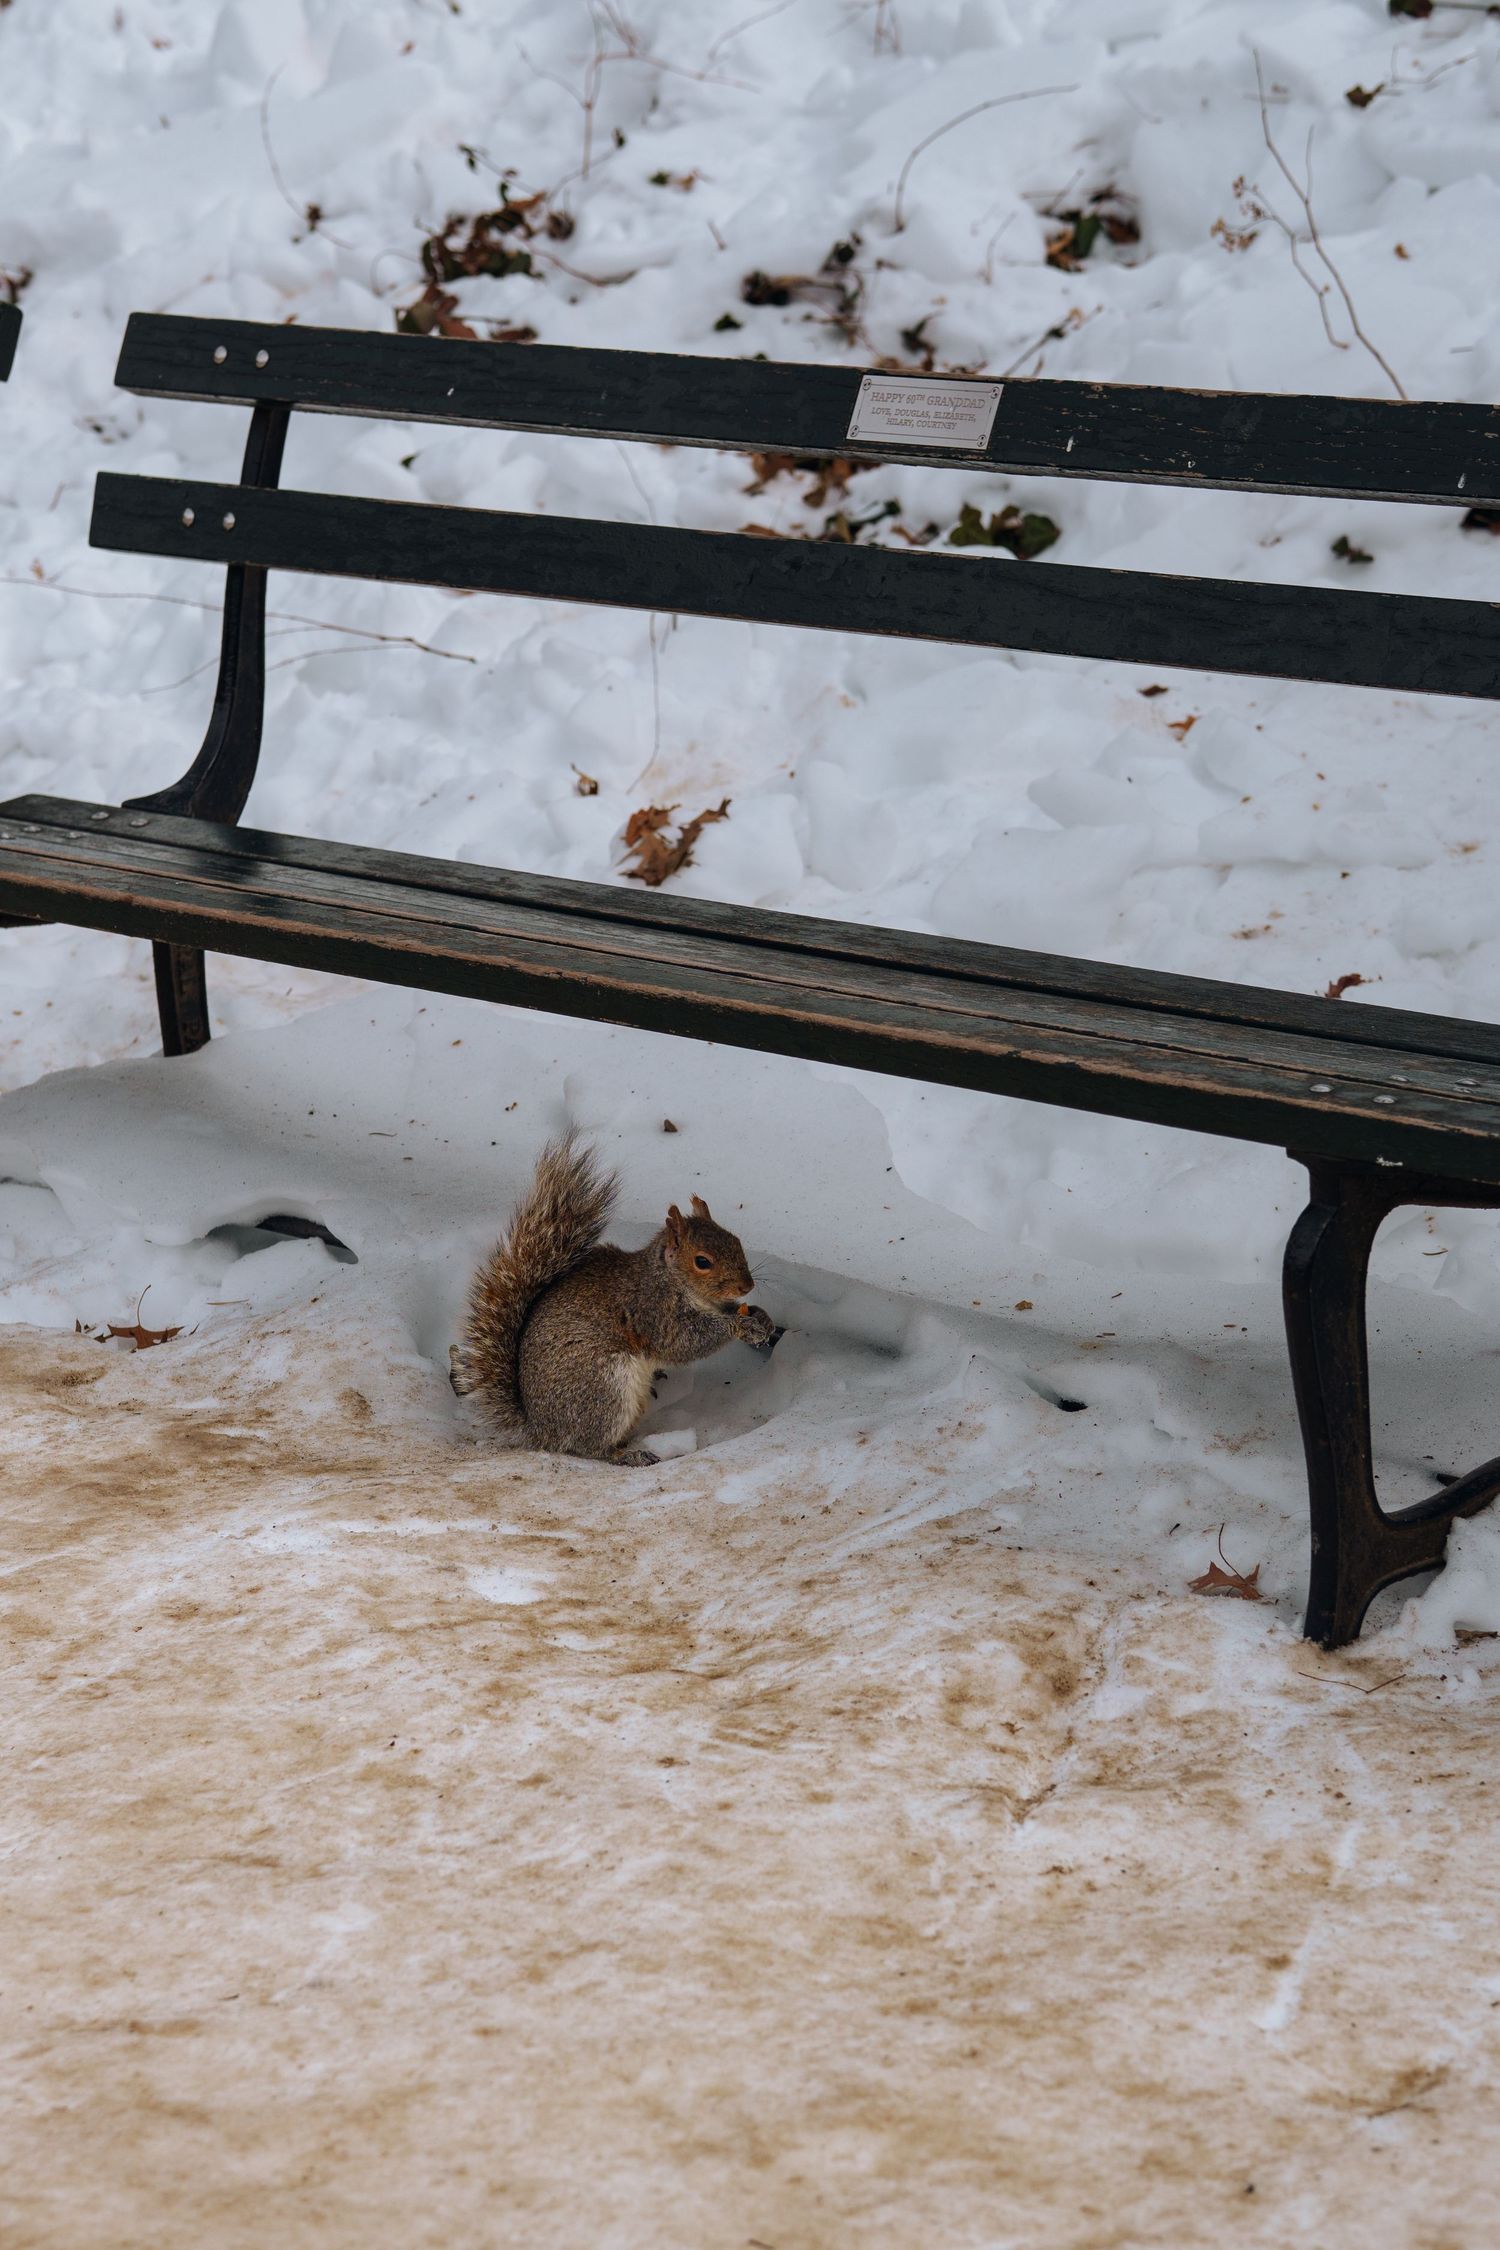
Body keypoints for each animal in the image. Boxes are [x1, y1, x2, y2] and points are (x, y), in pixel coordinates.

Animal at [451, 1133, 778, 1465]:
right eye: (702, 1261)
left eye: (736, 1240)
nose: (747, 1285)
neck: (674, 1281)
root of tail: (541, 1429)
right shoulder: (653, 1311)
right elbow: (684, 1341)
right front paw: (739, 1326)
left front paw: (759, 1317)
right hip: (605, 1388)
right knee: (588, 1447)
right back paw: (628, 1455)